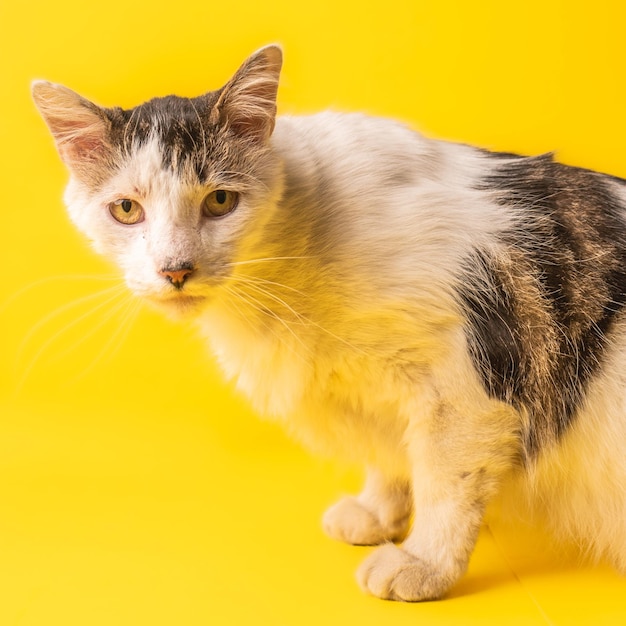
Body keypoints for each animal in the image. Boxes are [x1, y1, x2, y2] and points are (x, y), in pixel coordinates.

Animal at [31, 45, 624, 600]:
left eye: (220, 201)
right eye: (126, 210)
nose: (176, 269)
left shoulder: (461, 394)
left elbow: (444, 485)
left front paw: (424, 564)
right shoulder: (385, 396)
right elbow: (392, 456)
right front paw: (378, 514)